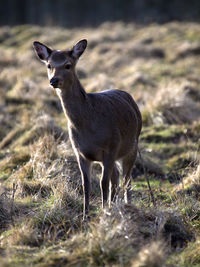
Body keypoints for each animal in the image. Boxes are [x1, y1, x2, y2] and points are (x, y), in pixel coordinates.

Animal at [32, 39, 142, 220]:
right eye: (49, 65)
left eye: (68, 65)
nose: (53, 80)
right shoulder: (79, 152)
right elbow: (86, 184)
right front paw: (85, 215)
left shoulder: (110, 147)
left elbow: (103, 183)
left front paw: (104, 212)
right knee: (116, 177)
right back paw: (114, 204)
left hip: (132, 146)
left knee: (127, 178)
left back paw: (127, 205)